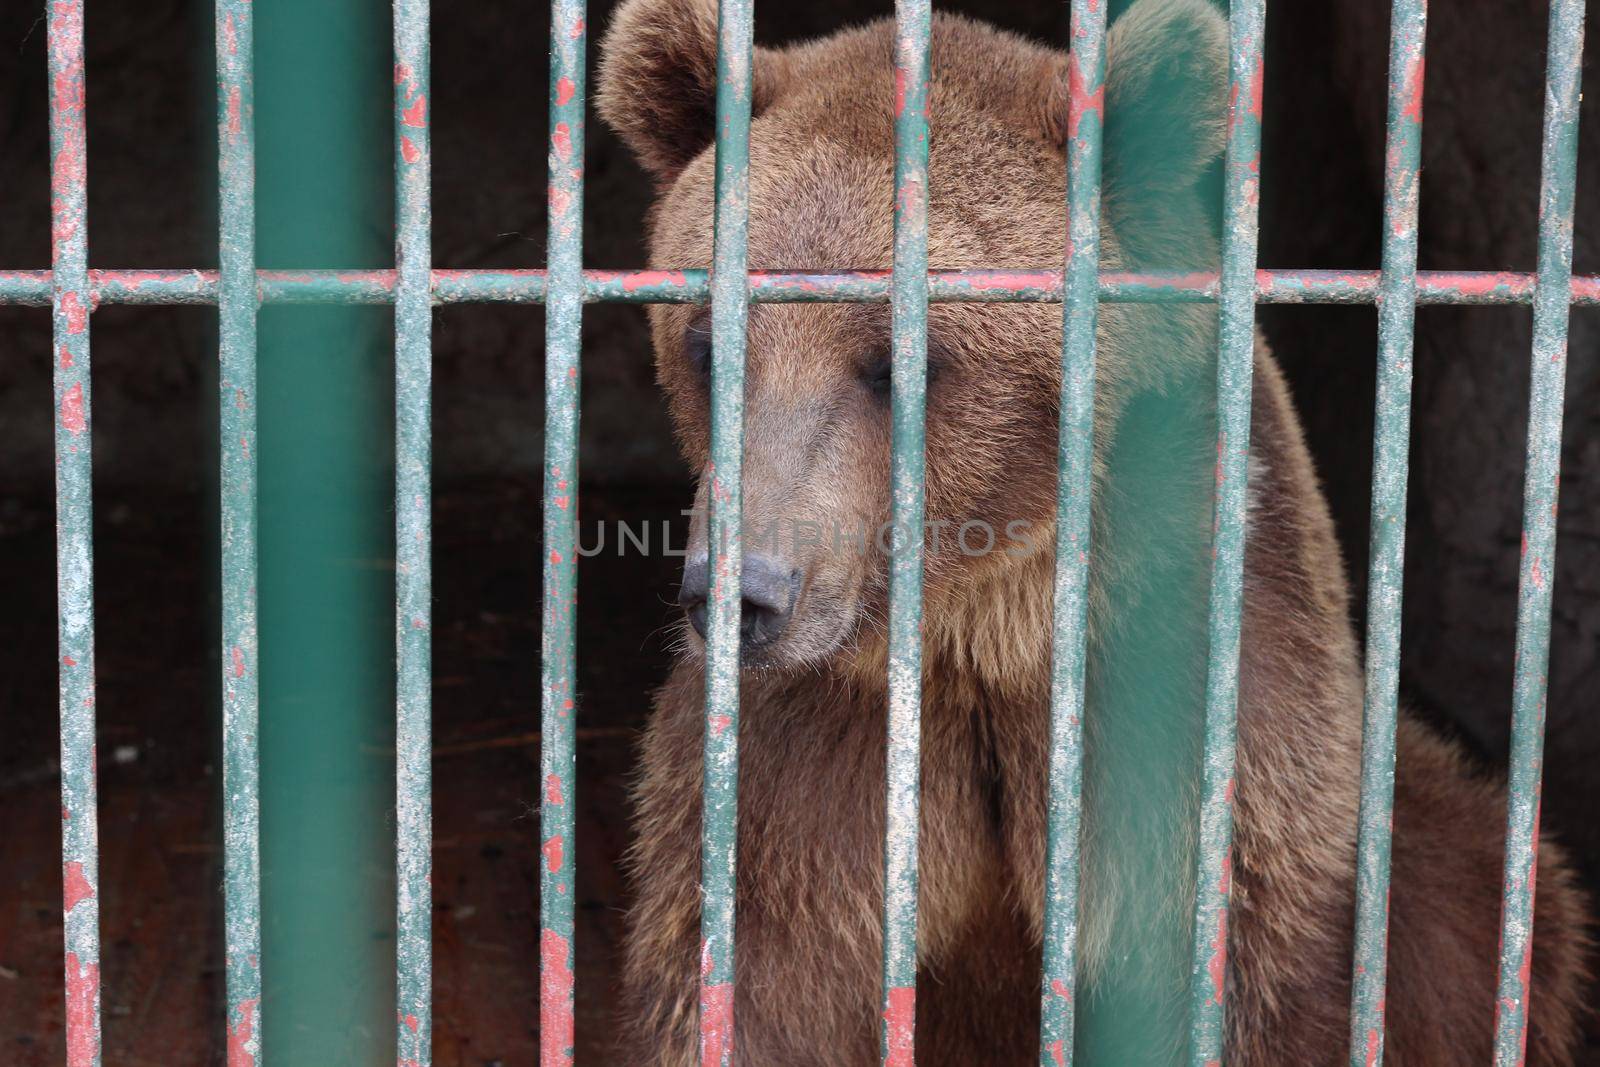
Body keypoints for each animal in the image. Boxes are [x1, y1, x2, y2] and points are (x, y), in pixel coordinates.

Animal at [598, 2, 1587, 1062]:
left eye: (900, 359)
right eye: (708, 343)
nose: (743, 592)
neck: (987, 623)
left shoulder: (1195, 682)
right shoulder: (808, 753)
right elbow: (753, 975)